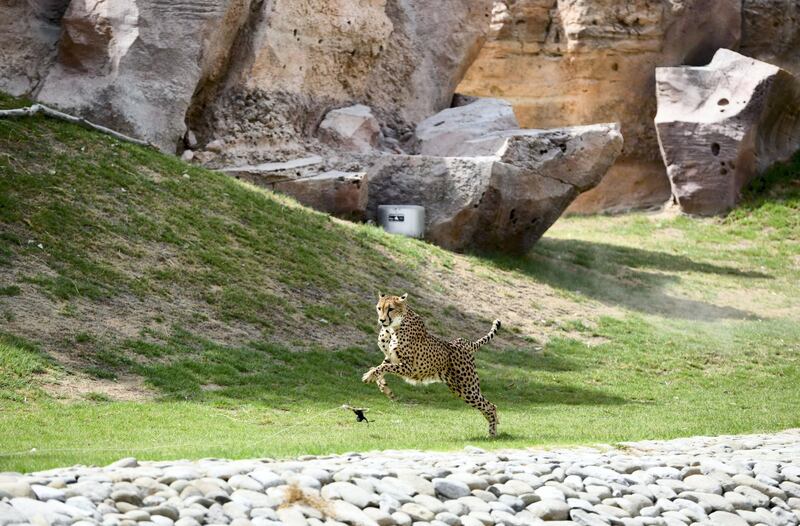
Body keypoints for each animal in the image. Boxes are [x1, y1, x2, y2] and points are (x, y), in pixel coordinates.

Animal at [360, 292, 500, 438]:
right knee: (487, 406)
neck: (393, 328)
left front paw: (369, 376)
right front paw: (384, 388)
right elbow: (379, 368)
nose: (381, 320)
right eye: (379, 308)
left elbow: (382, 368)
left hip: (467, 388)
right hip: (460, 389)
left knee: (490, 406)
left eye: (391, 309)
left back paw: (492, 434)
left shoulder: (408, 367)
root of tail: (465, 343)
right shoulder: (390, 358)